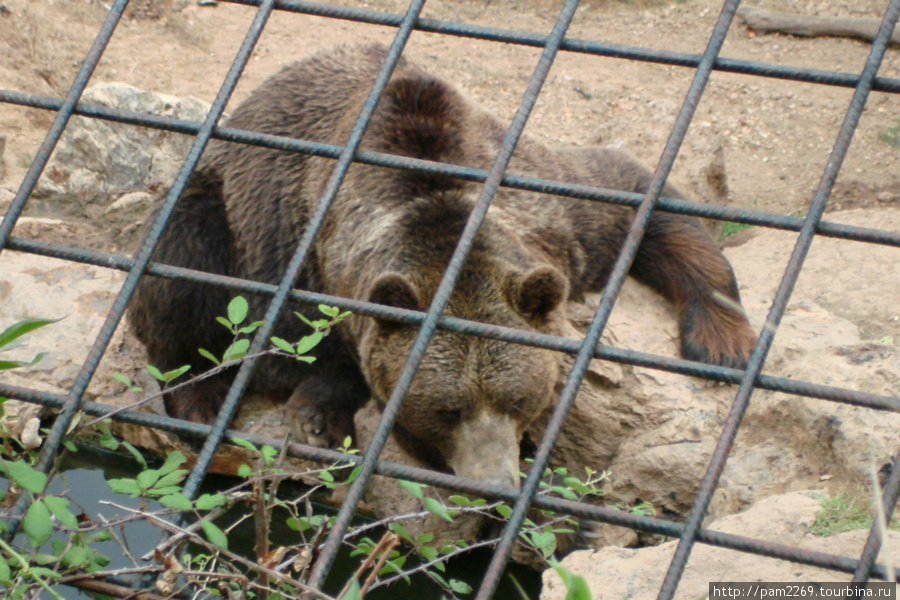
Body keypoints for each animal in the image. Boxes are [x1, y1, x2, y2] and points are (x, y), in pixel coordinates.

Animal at [130, 44, 756, 490]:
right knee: (179, 266)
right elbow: (328, 348)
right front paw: (320, 418)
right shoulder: (303, 255)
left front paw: (723, 342)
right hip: (218, 203)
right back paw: (201, 400)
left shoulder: (559, 216)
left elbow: (639, 196)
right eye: (446, 410)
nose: (494, 482)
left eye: (519, 399)